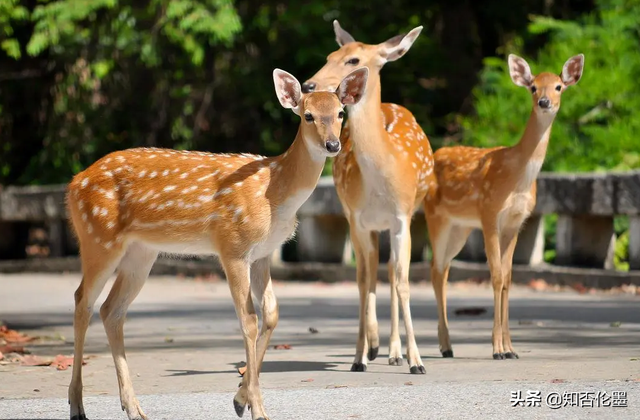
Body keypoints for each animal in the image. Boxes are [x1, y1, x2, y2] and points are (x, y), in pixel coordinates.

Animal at [65, 66, 370, 420]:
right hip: (98, 236)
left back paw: (134, 408)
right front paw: (257, 410)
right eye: (308, 115)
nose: (332, 144)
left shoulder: (263, 253)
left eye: (340, 113)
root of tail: (73, 183)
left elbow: (271, 314)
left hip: (141, 252)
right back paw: (77, 406)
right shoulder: (232, 246)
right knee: (82, 301)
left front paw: (240, 399)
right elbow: (249, 321)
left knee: (111, 310)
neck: (275, 192)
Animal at [302, 20, 438, 374]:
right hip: (361, 222)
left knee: (390, 271)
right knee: (373, 268)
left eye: (354, 60)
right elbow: (363, 281)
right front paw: (358, 357)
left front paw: (416, 361)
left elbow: (402, 281)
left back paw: (394, 352)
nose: (309, 84)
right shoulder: (358, 220)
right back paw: (376, 348)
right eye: (330, 55)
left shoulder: (402, 217)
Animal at [424, 54, 584, 360]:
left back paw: (447, 345)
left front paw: (511, 348)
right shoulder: (489, 215)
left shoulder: (516, 223)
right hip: (435, 216)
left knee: (444, 269)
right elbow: (496, 277)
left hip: (460, 227)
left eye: (558, 86)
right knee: (435, 269)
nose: (544, 102)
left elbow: (509, 278)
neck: (517, 178)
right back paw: (444, 345)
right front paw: (498, 349)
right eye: (533, 87)